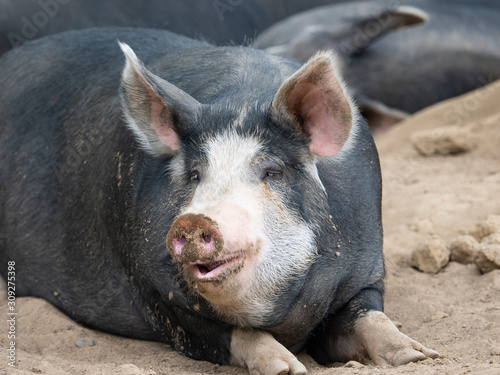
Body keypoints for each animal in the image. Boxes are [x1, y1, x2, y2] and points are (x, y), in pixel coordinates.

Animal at [0, 27, 438, 375]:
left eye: (271, 172)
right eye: (196, 174)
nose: (194, 221)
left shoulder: (366, 272)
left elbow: (371, 317)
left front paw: (418, 356)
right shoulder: (156, 292)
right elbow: (235, 334)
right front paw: (287, 368)